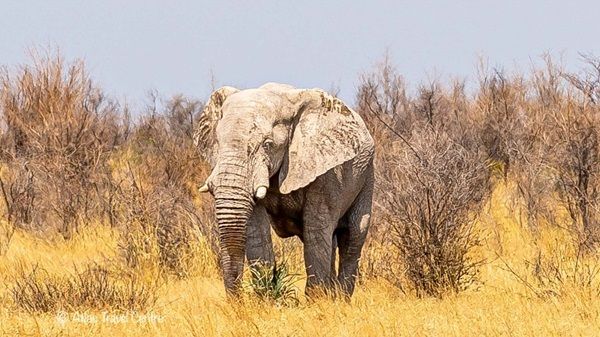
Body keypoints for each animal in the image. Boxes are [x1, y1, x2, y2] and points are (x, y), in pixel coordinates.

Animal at [195, 82, 372, 296]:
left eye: (267, 144)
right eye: (218, 143)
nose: (238, 300)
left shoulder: (326, 171)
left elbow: (316, 231)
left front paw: (317, 300)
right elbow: (257, 232)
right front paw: (265, 297)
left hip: (366, 176)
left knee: (352, 237)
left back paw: (340, 297)